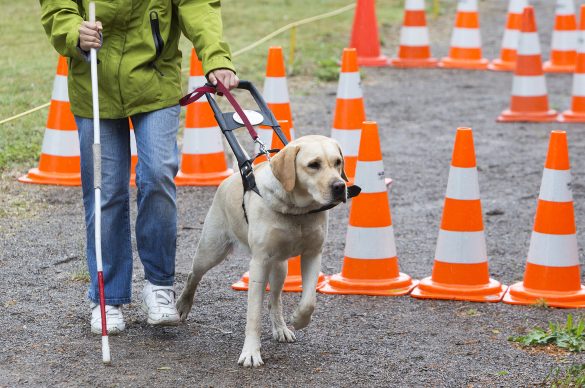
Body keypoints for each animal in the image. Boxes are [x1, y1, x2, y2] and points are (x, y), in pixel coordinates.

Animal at [176, 136, 350, 366]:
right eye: (314, 165)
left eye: (338, 162)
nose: (340, 186)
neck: (297, 211)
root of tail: (232, 176)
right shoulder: (259, 263)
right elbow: (254, 316)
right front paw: (251, 352)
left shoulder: (313, 254)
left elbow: (308, 302)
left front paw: (298, 319)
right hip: (211, 251)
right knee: (193, 275)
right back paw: (183, 305)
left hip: (280, 267)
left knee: (274, 300)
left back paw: (281, 327)